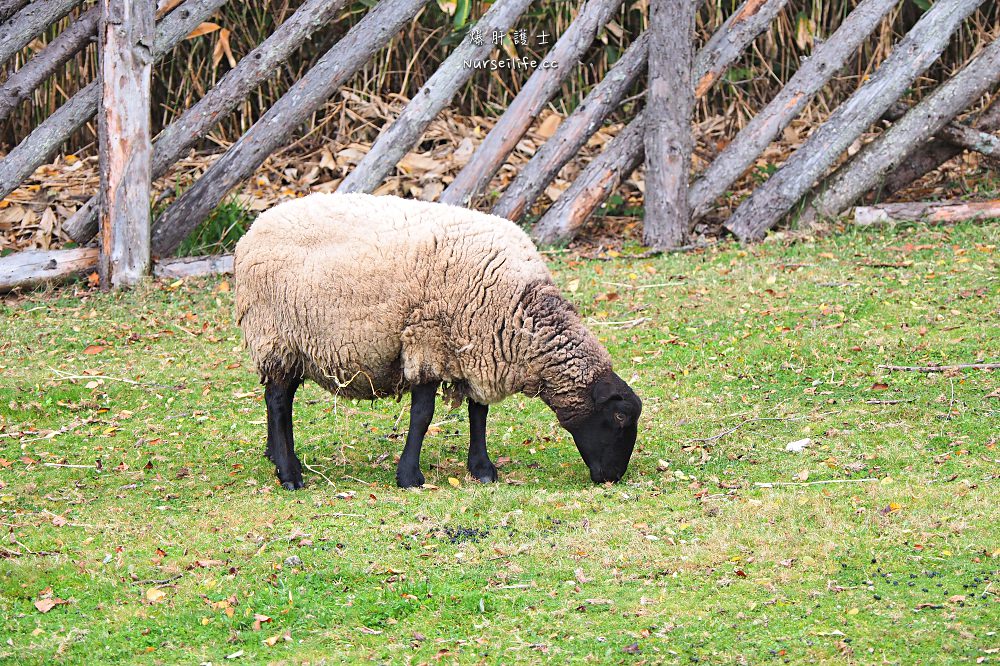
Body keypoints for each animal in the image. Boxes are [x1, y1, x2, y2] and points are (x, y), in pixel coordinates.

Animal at [233, 192, 640, 488]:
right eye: (619, 416)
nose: (612, 478)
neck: (522, 314)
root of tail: (254, 229)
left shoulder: (478, 346)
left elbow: (479, 412)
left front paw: (482, 469)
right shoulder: (427, 340)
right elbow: (423, 415)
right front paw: (409, 476)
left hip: (294, 344)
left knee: (279, 399)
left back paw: (278, 456)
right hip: (276, 335)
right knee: (278, 402)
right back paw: (290, 475)